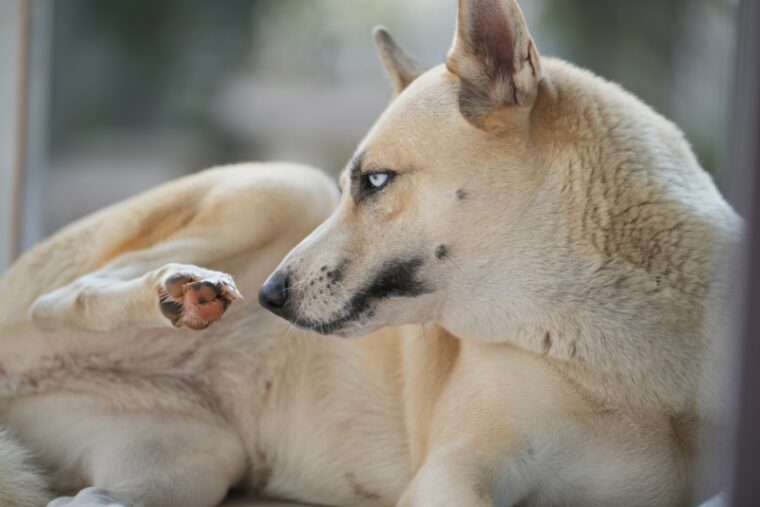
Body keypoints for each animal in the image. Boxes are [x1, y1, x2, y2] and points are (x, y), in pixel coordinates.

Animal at [0, 0, 740, 507]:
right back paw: (183, 289)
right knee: (60, 297)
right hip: (281, 184)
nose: (266, 296)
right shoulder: (455, 473)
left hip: (187, 459)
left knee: (88, 498)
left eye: (376, 182)